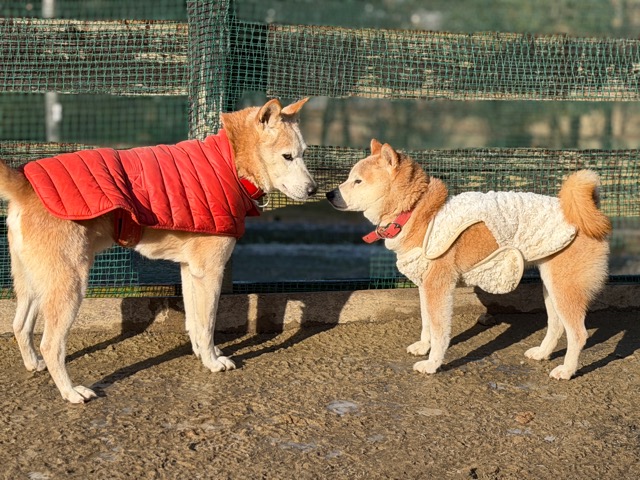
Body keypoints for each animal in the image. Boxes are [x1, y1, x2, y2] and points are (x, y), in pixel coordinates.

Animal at [0, 98, 316, 403]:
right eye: (288, 156)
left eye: (303, 153)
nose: (314, 190)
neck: (228, 160)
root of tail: (25, 183)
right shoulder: (210, 272)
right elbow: (207, 324)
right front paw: (213, 362)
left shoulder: (191, 271)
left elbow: (195, 321)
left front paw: (204, 355)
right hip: (70, 285)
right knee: (51, 344)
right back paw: (70, 392)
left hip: (33, 283)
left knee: (20, 325)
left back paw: (33, 364)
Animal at [327, 139, 611, 380]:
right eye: (349, 178)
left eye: (357, 181)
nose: (329, 194)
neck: (417, 211)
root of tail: (587, 210)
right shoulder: (425, 287)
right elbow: (427, 322)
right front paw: (423, 346)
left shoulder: (438, 287)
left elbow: (440, 331)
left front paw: (433, 363)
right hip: (552, 286)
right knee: (556, 325)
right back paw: (542, 353)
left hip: (564, 287)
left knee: (578, 334)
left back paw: (567, 370)